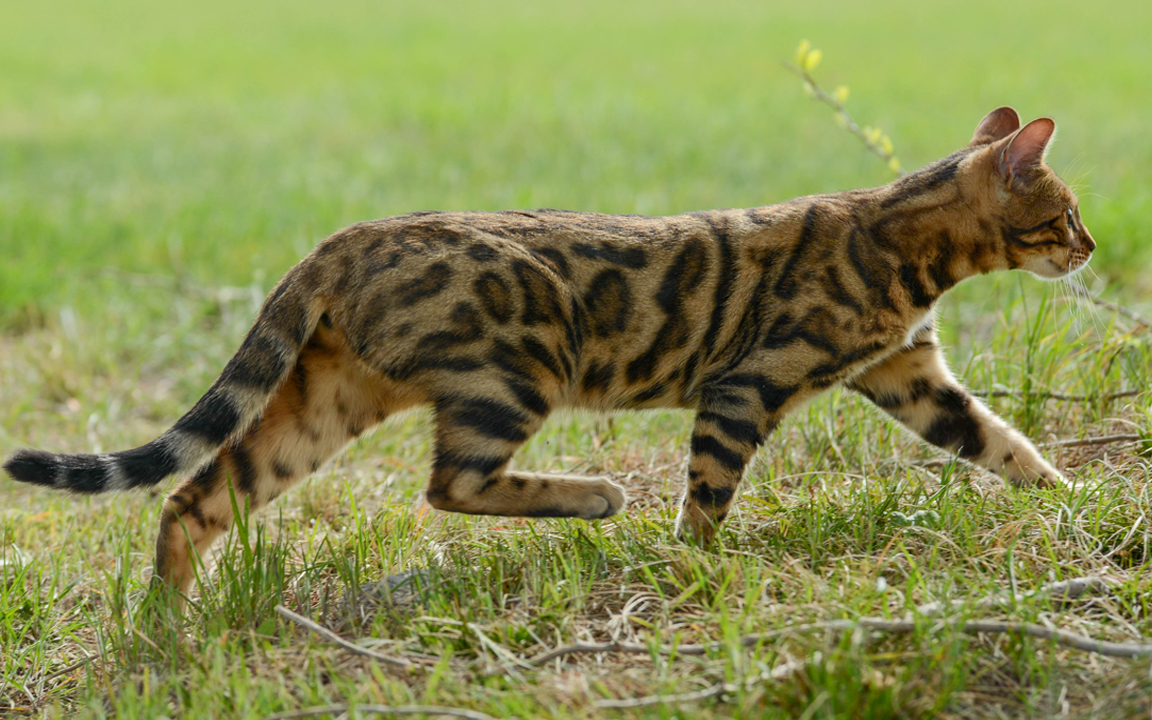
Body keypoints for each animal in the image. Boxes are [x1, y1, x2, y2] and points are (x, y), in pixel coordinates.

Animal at [2, 105, 1096, 589]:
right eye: (1068, 213)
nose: (1090, 248)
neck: (903, 241)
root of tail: (346, 235)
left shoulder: (909, 376)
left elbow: (1004, 444)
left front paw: (1076, 501)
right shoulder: (748, 384)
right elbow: (709, 494)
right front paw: (695, 569)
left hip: (327, 401)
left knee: (195, 496)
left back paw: (166, 630)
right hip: (514, 370)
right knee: (451, 483)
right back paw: (593, 498)